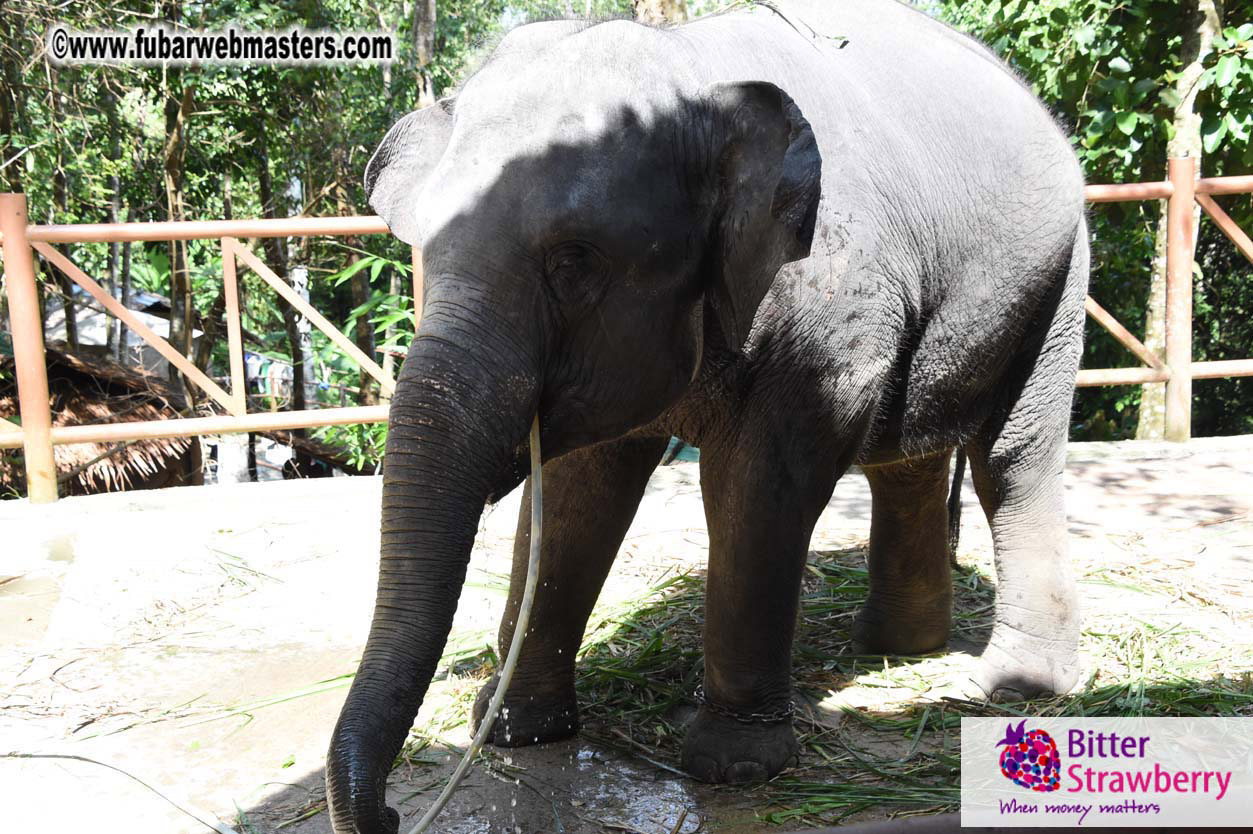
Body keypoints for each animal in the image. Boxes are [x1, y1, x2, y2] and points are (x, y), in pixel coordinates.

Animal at [326, 1, 1087, 831]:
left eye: (574, 260)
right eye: (421, 250)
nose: (391, 813)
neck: (689, 70)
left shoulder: (824, 310)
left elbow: (758, 488)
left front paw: (734, 767)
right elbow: (574, 498)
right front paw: (511, 732)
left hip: (1059, 275)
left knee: (1011, 460)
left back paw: (1011, 687)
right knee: (906, 462)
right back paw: (891, 649)